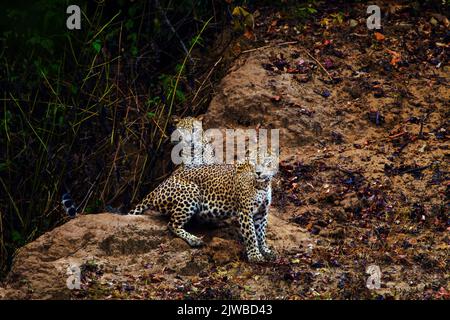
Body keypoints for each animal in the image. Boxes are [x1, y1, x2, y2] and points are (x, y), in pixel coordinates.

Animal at [126, 152, 280, 262]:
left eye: (267, 163)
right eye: (253, 163)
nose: (258, 172)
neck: (263, 185)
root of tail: (160, 185)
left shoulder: (262, 212)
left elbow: (261, 233)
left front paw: (266, 250)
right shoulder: (245, 212)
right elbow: (251, 234)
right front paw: (255, 255)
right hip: (191, 192)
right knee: (172, 224)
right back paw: (194, 239)